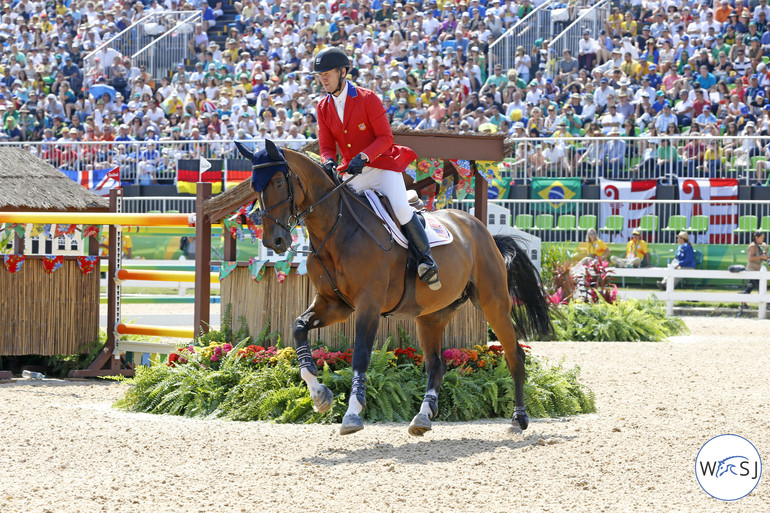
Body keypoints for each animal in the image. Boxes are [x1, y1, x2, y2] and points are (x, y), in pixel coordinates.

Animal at [236, 141, 552, 436]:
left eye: (279, 182)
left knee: (514, 355)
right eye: (253, 186)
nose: (274, 241)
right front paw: (319, 394)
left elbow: (361, 355)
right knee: (436, 364)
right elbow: (299, 327)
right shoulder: (333, 304)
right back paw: (423, 417)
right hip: (432, 315)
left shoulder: (369, 303)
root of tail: (481, 230)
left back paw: (518, 419)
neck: (337, 228)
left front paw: (353, 413)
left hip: (493, 302)